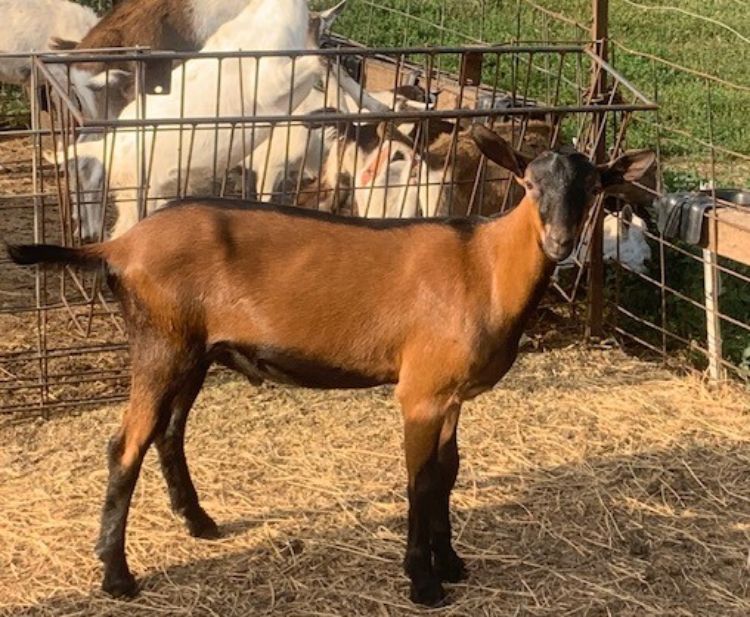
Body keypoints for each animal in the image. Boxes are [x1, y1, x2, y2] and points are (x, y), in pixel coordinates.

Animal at [7, 128, 655, 606]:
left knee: (169, 431)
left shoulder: (451, 393)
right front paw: (423, 582)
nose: (560, 242)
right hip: (160, 343)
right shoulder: (420, 391)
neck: (485, 267)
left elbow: (448, 473)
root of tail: (118, 247)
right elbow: (421, 482)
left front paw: (452, 562)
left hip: (192, 349)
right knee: (126, 446)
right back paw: (117, 576)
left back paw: (199, 522)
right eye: (528, 182)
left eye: (594, 186)